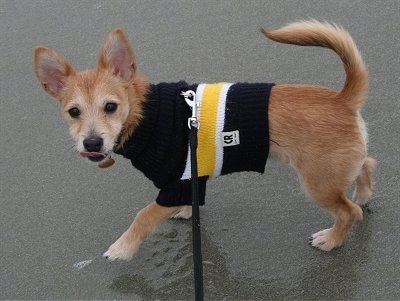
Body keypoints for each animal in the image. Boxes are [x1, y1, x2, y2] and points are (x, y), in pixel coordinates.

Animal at [35, 20, 378, 260]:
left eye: (110, 107)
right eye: (73, 112)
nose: (92, 143)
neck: (146, 113)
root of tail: (342, 99)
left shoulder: (175, 183)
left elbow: (144, 215)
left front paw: (123, 247)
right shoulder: (188, 181)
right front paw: (186, 212)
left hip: (317, 183)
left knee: (349, 212)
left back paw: (332, 239)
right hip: (333, 170)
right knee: (367, 163)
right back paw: (363, 193)